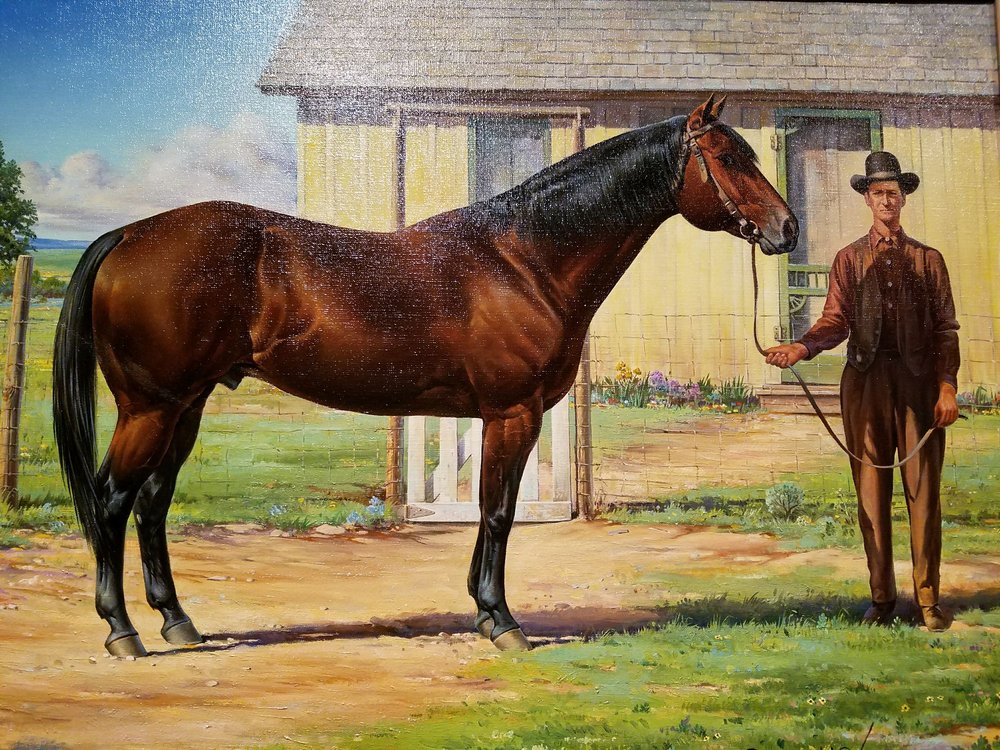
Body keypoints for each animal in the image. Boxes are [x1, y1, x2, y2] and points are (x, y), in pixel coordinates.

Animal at [53, 94, 797, 658]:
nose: (786, 229)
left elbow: (497, 510)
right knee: (113, 499)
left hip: (186, 406)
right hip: (151, 407)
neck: (524, 259)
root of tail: (128, 236)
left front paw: (486, 611)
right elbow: (497, 512)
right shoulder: (512, 413)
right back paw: (122, 632)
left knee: (152, 503)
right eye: (728, 159)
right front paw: (502, 622)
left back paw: (178, 623)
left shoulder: (511, 416)